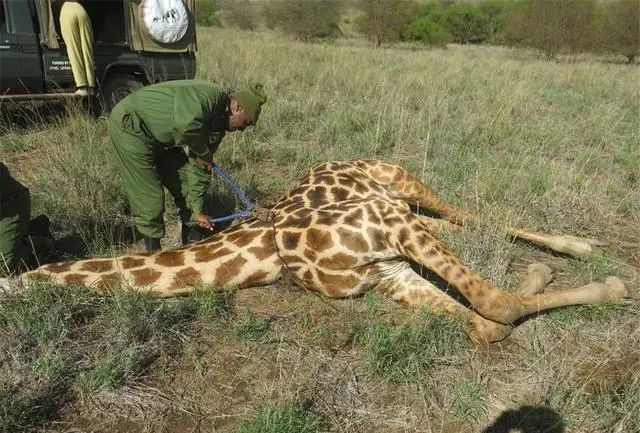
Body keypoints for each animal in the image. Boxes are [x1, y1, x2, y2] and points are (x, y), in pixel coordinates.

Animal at [21, 160, 636, 342]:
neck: (268, 247)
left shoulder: (388, 228)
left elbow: (494, 303)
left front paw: (612, 286)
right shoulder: (387, 271)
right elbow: (489, 322)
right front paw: (541, 277)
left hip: (401, 186)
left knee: (465, 213)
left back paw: (580, 246)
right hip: (405, 210)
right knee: (462, 225)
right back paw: (565, 252)